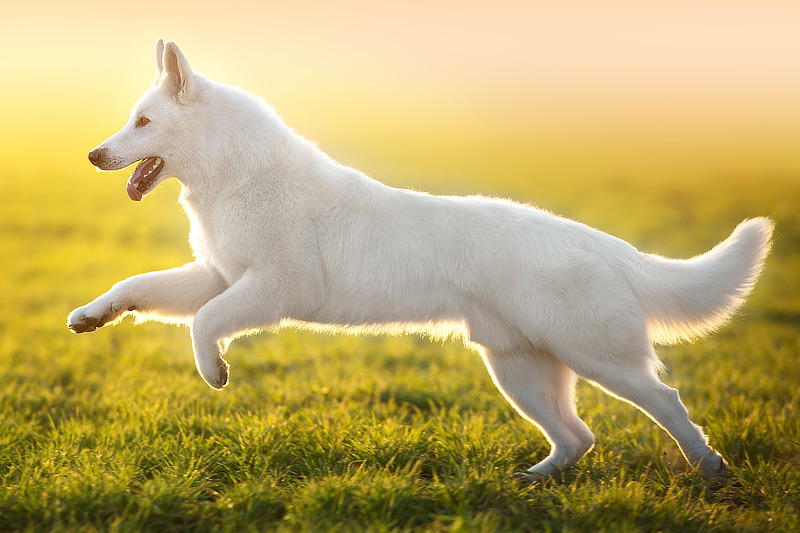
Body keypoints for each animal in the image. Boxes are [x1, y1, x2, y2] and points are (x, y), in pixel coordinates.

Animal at [70, 39, 776, 480]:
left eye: (142, 122)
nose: (93, 156)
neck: (235, 174)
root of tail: (599, 241)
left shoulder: (273, 288)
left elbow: (204, 323)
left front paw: (214, 372)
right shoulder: (216, 276)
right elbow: (139, 286)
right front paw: (91, 316)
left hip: (597, 357)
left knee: (666, 401)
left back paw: (709, 468)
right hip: (518, 369)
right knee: (579, 437)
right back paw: (534, 479)